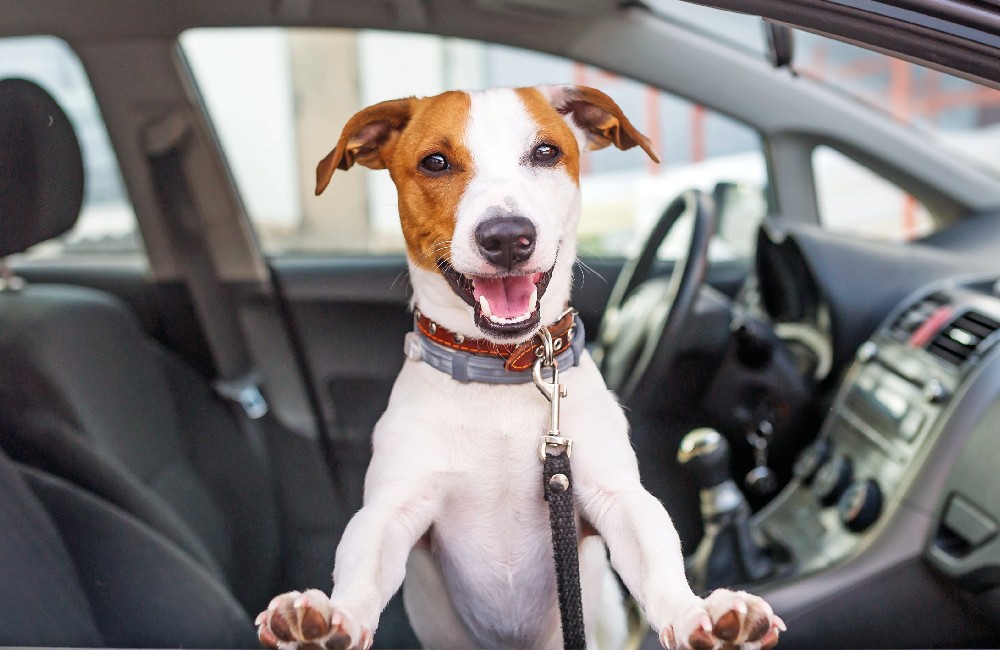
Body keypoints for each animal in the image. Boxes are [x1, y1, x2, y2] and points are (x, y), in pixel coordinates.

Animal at [254, 86, 784, 648]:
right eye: (435, 162)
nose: (507, 236)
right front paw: (328, 619)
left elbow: (658, 557)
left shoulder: (615, 497)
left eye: (546, 152)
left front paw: (696, 614)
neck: (501, 370)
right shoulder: (391, 510)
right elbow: (362, 568)